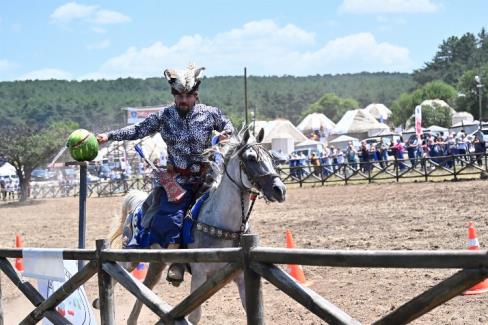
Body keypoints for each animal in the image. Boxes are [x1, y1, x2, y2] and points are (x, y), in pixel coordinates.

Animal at [103, 128, 286, 322]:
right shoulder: (199, 274)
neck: (221, 222)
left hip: (157, 263)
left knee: (146, 286)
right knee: (118, 271)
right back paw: (99, 302)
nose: (280, 190)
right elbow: (194, 316)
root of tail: (137, 206)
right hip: (132, 254)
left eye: (271, 157)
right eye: (251, 158)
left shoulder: (242, 276)